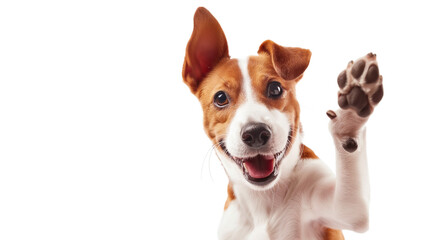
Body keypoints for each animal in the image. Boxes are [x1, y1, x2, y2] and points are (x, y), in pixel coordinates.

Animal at [181, 7, 382, 240]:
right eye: (220, 98)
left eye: (275, 88)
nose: (255, 133)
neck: (264, 200)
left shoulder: (345, 208)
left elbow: (352, 206)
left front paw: (353, 106)